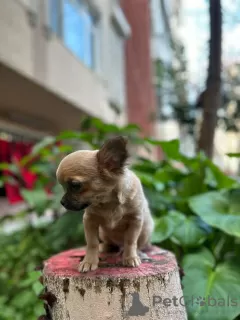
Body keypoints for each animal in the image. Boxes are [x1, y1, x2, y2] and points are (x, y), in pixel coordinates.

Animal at [56, 137, 154, 272]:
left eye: (75, 185)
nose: (62, 202)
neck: (109, 203)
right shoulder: (90, 221)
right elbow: (92, 243)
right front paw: (89, 261)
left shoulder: (135, 221)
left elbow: (130, 241)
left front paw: (130, 257)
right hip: (104, 233)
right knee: (109, 244)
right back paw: (105, 247)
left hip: (145, 230)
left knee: (135, 244)